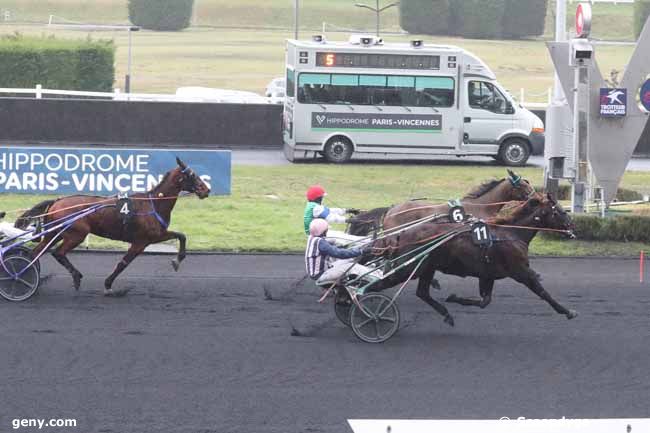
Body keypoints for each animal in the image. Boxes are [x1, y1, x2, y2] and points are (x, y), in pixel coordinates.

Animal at [14, 157, 210, 296]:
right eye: (192, 175)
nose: (206, 190)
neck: (153, 203)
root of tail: (57, 201)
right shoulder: (141, 241)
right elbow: (123, 263)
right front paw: (108, 285)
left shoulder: (156, 235)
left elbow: (181, 235)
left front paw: (177, 261)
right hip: (76, 233)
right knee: (58, 253)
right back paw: (74, 277)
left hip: (55, 232)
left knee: (35, 253)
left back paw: (28, 276)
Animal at [368, 192, 576, 324]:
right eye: (560, 210)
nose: (572, 228)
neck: (512, 233)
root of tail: (399, 234)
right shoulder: (520, 271)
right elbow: (542, 292)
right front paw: (567, 311)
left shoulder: (488, 274)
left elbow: (485, 301)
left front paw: (455, 298)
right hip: (408, 268)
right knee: (378, 285)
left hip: (426, 267)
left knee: (422, 293)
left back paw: (446, 314)